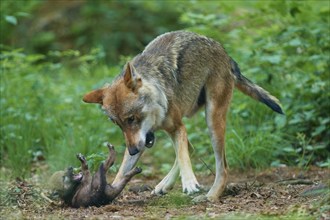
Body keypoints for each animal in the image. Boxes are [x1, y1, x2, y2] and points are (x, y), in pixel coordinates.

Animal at [82, 31, 284, 203]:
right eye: (118, 124)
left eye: (131, 119)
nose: (132, 150)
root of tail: (224, 52)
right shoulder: (144, 139)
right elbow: (123, 171)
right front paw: (107, 191)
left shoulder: (176, 127)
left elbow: (182, 155)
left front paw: (189, 182)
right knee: (191, 148)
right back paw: (165, 185)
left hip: (212, 120)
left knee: (222, 167)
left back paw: (210, 196)